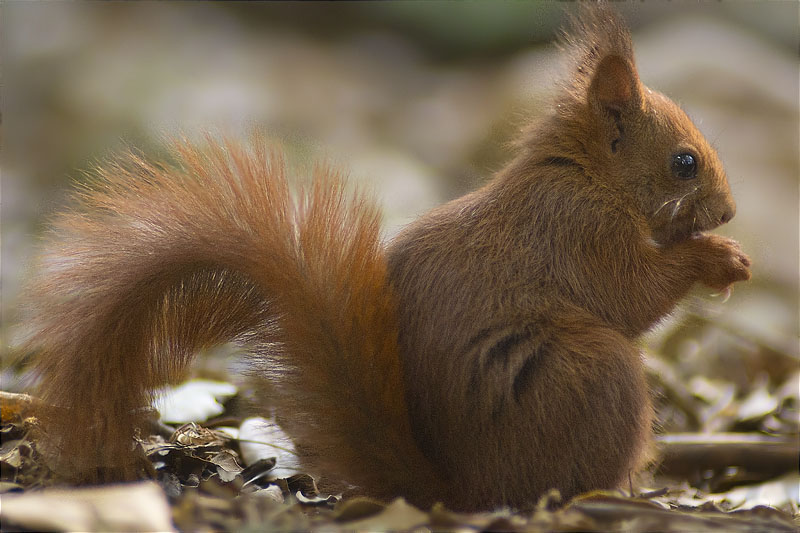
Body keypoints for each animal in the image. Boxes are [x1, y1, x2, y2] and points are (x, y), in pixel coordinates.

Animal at [23, 5, 752, 512]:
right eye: (684, 162)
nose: (727, 212)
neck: (584, 174)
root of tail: (452, 489)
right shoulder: (579, 230)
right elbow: (632, 295)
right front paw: (718, 259)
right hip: (599, 377)